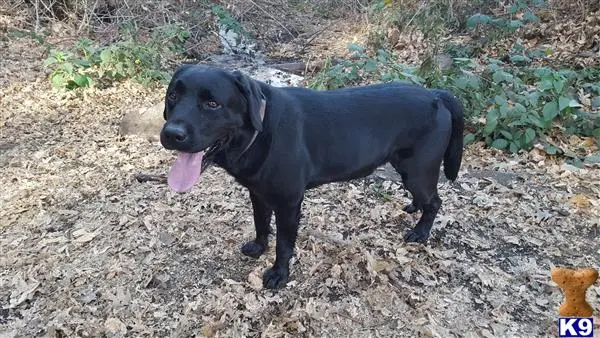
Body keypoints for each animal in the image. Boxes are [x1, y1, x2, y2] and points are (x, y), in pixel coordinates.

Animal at [159, 64, 464, 290]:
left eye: (212, 103)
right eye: (172, 96)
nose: (171, 134)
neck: (261, 131)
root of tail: (437, 94)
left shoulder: (288, 203)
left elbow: (284, 244)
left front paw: (278, 275)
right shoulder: (258, 193)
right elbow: (260, 223)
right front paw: (259, 246)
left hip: (418, 171)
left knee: (435, 202)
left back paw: (420, 232)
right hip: (408, 170)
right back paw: (413, 207)